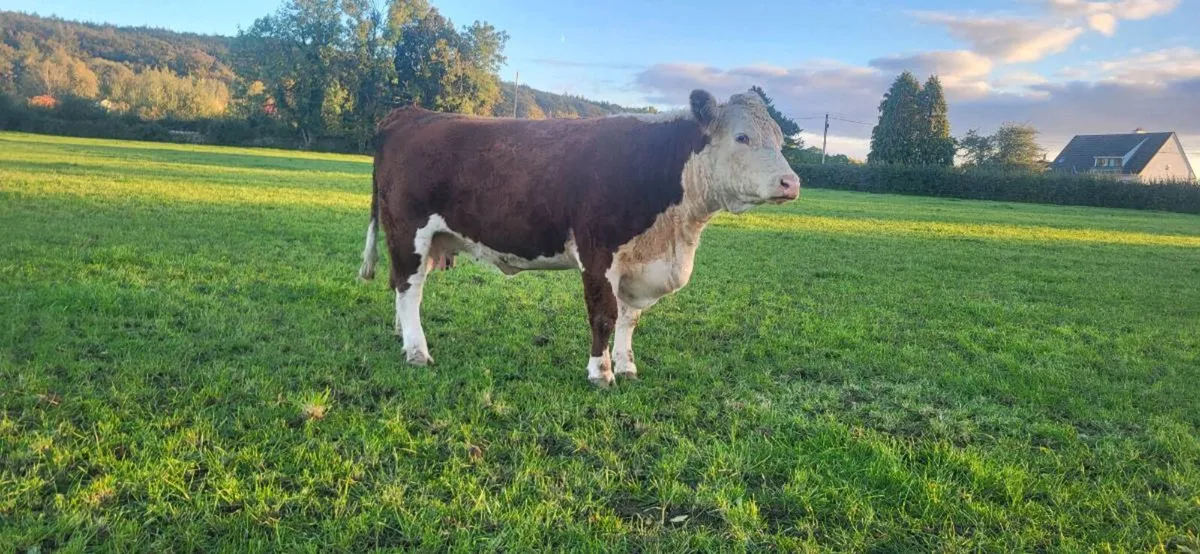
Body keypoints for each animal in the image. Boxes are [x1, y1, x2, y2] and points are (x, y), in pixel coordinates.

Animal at [358, 88, 800, 387]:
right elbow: (604, 315)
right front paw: (601, 372)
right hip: (409, 231)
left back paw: (403, 336)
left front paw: (627, 366)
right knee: (409, 287)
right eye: (742, 137)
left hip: (428, 239)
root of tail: (411, 113)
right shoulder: (597, 252)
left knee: (402, 285)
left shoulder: (638, 263)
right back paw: (418, 351)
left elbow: (629, 318)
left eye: (780, 139)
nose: (791, 183)